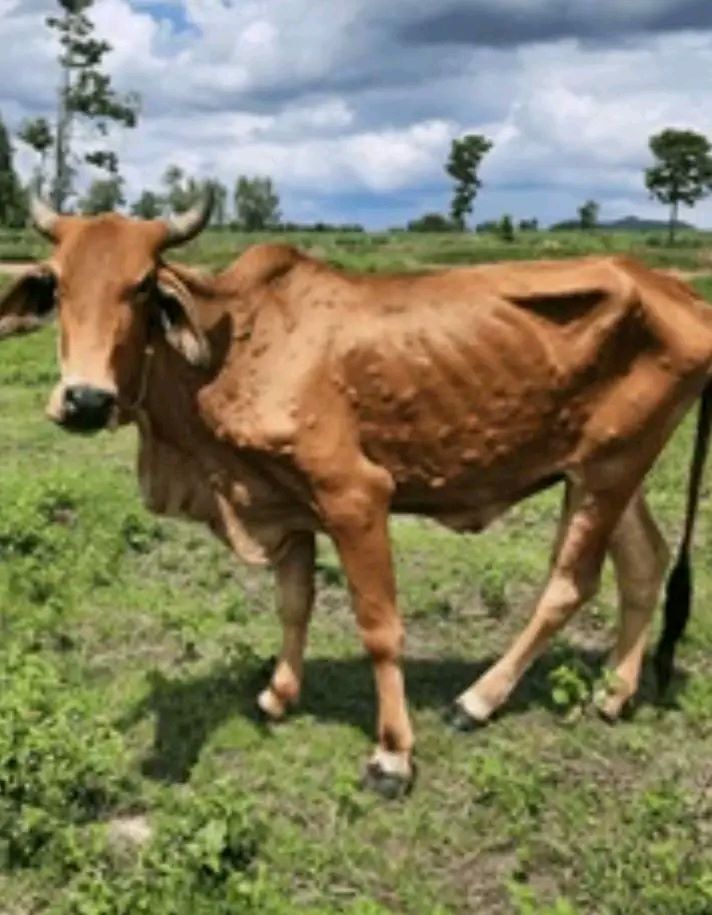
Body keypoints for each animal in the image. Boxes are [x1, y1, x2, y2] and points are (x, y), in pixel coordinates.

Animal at [1, 191, 711, 799]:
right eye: (56, 284)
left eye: (144, 285)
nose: (86, 400)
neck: (231, 354)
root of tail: (680, 293)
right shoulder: (283, 501)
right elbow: (294, 604)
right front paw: (280, 694)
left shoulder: (355, 496)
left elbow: (378, 626)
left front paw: (392, 755)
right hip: (603, 467)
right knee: (643, 564)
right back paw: (614, 693)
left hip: (607, 469)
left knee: (569, 584)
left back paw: (478, 700)